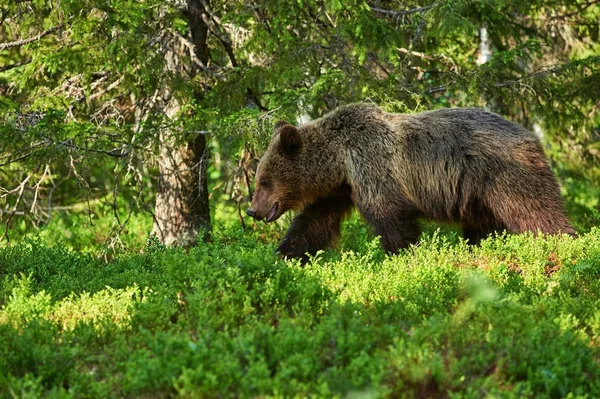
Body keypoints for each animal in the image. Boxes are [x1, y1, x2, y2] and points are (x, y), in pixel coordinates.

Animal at [246, 101, 576, 260]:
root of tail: (531, 137)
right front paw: (283, 254)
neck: (340, 161)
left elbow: (392, 219)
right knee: (484, 228)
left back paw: (566, 246)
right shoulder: (340, 191)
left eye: (264, 180)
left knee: (537, 212)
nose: (252, 210)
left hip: (505, 176)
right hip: (479, 198)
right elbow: (313, 223)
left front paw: (405, 256)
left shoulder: (374, 168)